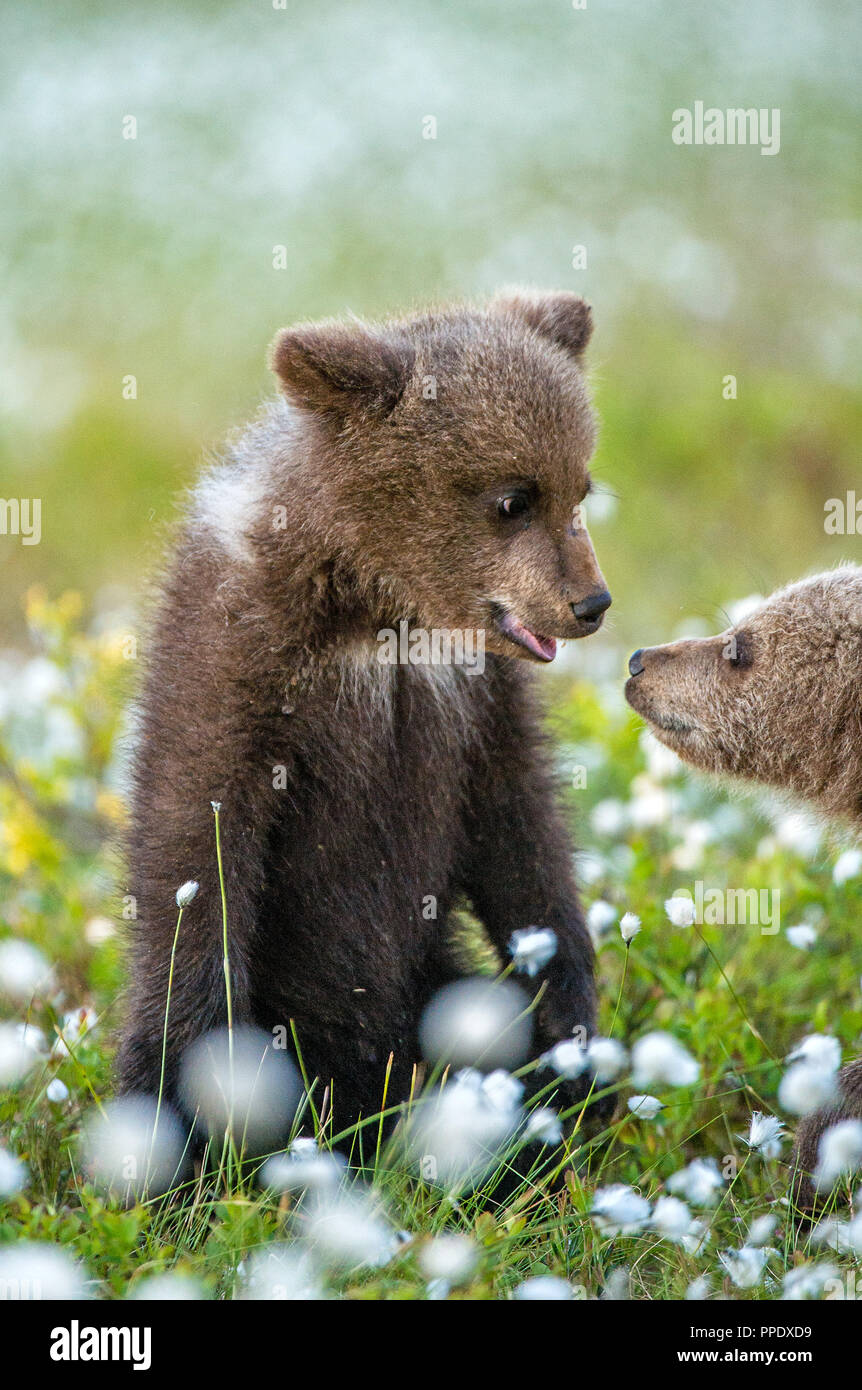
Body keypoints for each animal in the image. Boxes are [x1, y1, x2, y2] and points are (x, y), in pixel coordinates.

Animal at [116, 290, 613, 1155]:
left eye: (578, 487)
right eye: (513, 498)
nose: (591, 602)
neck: (377, 612)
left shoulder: (476, 698)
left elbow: (521, 831)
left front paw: (572, 1043)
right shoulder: (241, 670)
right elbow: (197, 849)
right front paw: (192, 1130)